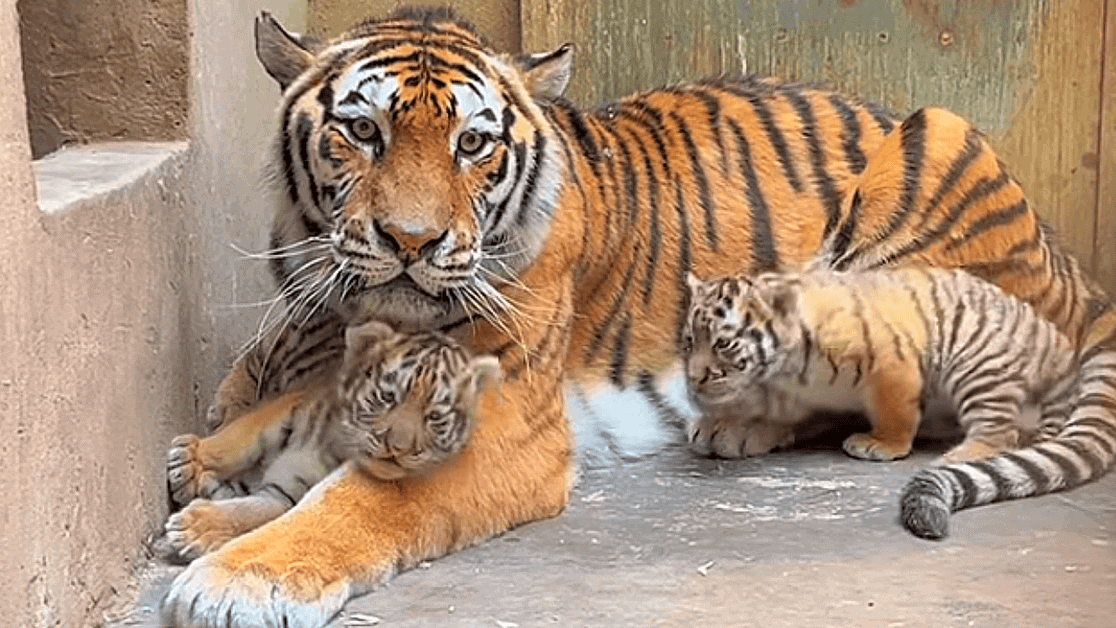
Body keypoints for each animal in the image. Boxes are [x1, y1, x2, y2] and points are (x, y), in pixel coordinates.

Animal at [162, 318, 499, 560]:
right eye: (388, 397)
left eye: (435, 417)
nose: (398, 448)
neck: (336, 444)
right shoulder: (290, 404)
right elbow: (240, 439)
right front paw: (189, 462)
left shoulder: (287, 495)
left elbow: (251, 513)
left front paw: (193, 528)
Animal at [682, 267, 1077, 484]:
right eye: (689, 341)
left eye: (723, 343)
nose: (693, 379)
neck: (789, 371)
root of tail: (1053, 335)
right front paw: (724, 424)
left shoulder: (892, 361)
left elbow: (894, 410)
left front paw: (883, 444)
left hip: (977, 363)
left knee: (1002, 431)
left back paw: (955, 457)